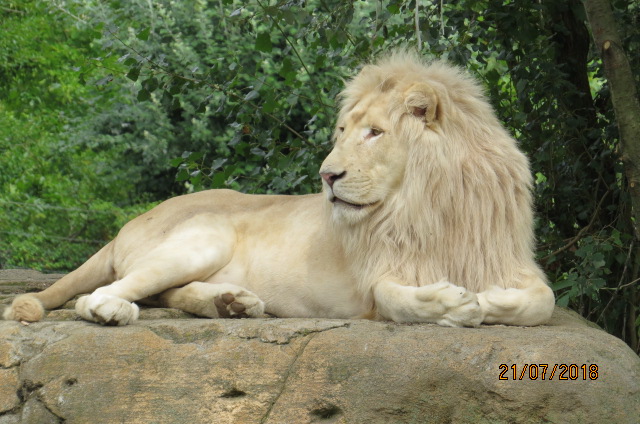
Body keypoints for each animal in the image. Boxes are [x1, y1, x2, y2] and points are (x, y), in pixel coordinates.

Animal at [3, 52, 555, 327]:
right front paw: (456, 305)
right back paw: (114, 310)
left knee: (167, 294)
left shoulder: (506, 259)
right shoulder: (375, 278)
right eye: (341, 132)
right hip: (201, 239)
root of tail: (126, 225)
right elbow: (399, 299)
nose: (327, 176)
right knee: (96, 294)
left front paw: (490, 300)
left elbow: (542, 301)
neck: (433, 202)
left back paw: (231, 304)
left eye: (374, 132)